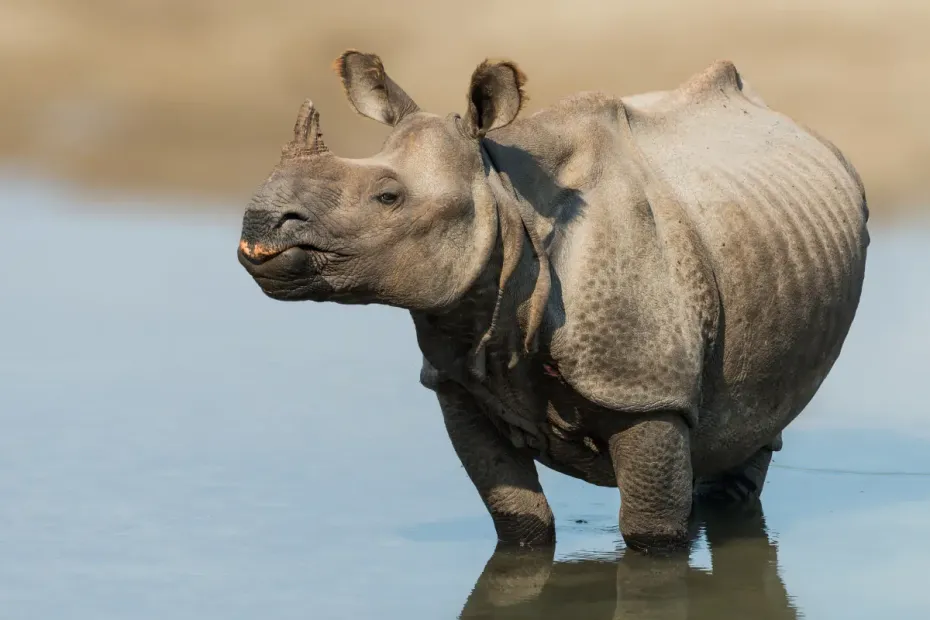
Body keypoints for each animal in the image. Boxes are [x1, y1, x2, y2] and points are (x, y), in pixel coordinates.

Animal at [237, 50, 869, 553]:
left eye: (387, 197)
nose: (259, 221)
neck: (504, 199)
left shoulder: (648, 390)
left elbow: (650, 534)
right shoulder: (457, 381)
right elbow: (519, 520)